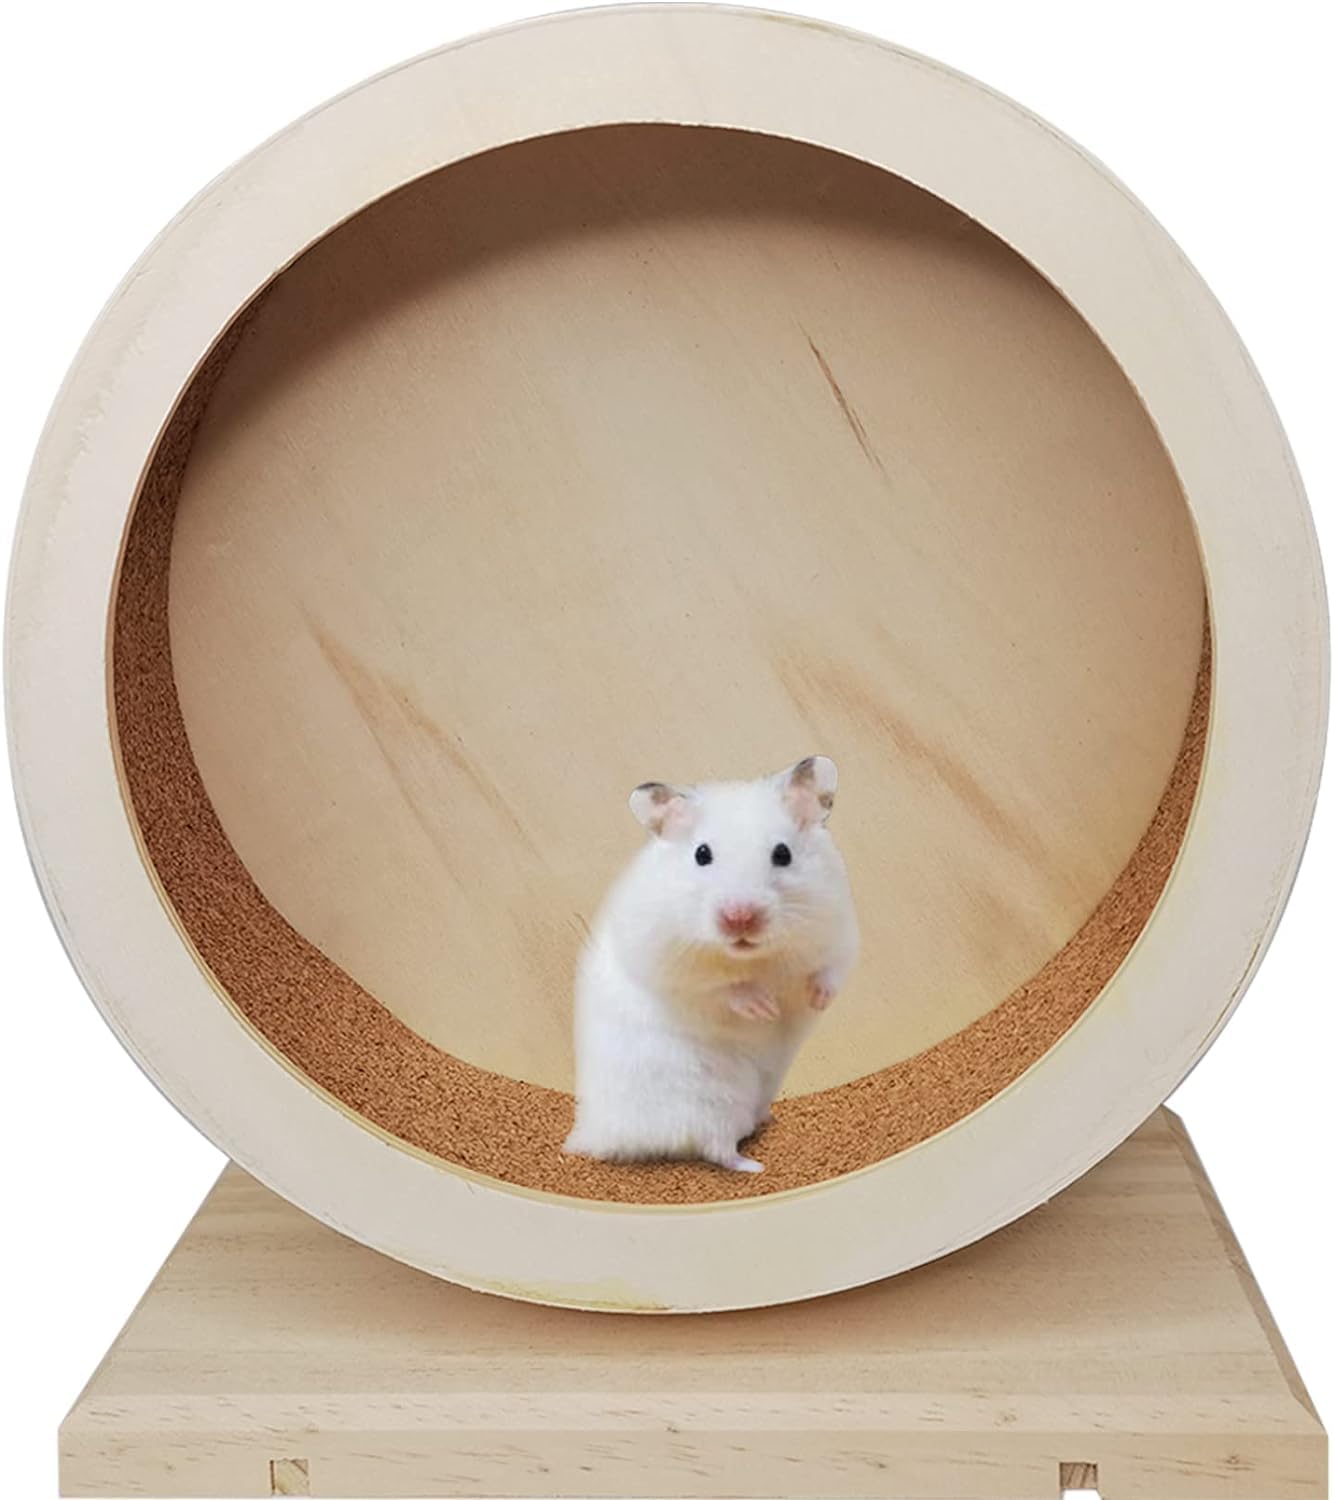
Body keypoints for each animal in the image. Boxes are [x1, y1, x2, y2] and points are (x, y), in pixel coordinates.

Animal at [564, 756, 859, 1174]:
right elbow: (720, 987)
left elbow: (828, 972)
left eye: (783, 853)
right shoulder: (663, 962)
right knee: (716, 1149)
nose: (740, 918)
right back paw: (755, 1166)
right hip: (711, 1106)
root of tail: (592, 1135)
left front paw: (814, 999)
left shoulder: (840, 936)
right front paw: (765, 1008)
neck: (754, 955)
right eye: (702, 854)